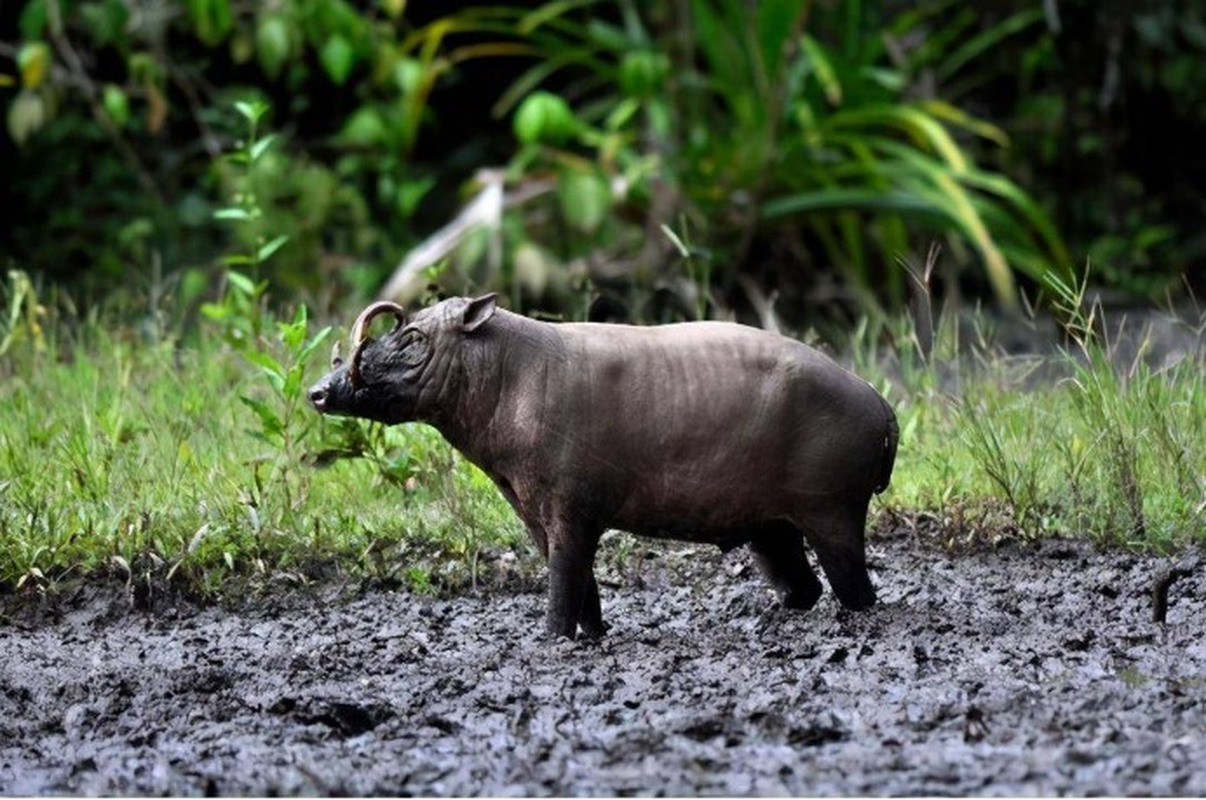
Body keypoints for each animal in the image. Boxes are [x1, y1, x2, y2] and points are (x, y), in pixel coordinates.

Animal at [311, 296, 897, 641]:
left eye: (413, 340)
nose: (319, 392)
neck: (507, 377)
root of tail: (882, 405)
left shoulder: (570, 504)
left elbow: (564, 574)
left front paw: (552, 639)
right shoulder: (537, 508)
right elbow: (575, 575)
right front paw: (591, 634)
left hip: (831, 509)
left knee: (856, 591)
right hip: (771, 528)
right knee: (805, 589)